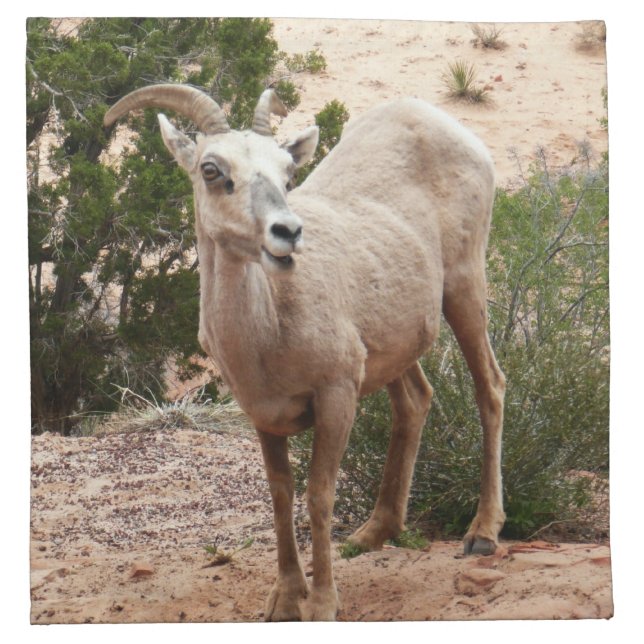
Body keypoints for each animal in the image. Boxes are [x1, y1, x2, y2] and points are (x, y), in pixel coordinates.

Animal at [103, 84, 506, 621]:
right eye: (211, 169)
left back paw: (482, 534)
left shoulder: (336, 396)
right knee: (415, 401)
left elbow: (319, 496)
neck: (267, 333)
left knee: (490, 388)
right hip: (393, 344)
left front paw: (322, 604)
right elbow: (281, 495)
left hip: (464, 286)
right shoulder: (263, 415)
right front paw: (284, 599)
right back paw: (372, 535)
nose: (287, 233)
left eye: (287, 173)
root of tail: (440, 121)